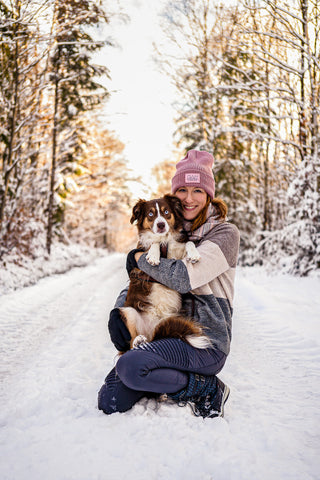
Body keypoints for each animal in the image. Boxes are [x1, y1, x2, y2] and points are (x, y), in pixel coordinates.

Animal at [119, 193, 211, 350]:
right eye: (150, 214)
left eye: (166, 211)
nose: (161, 225)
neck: (165, 241)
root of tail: (151, 332)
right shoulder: (138, 266)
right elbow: (153, 243)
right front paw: (153, 256)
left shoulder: (179, 255)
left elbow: (188, 242)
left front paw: (194, 254)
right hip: (129, 311)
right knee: (131, 343)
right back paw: (138, 340)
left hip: (175, 316)